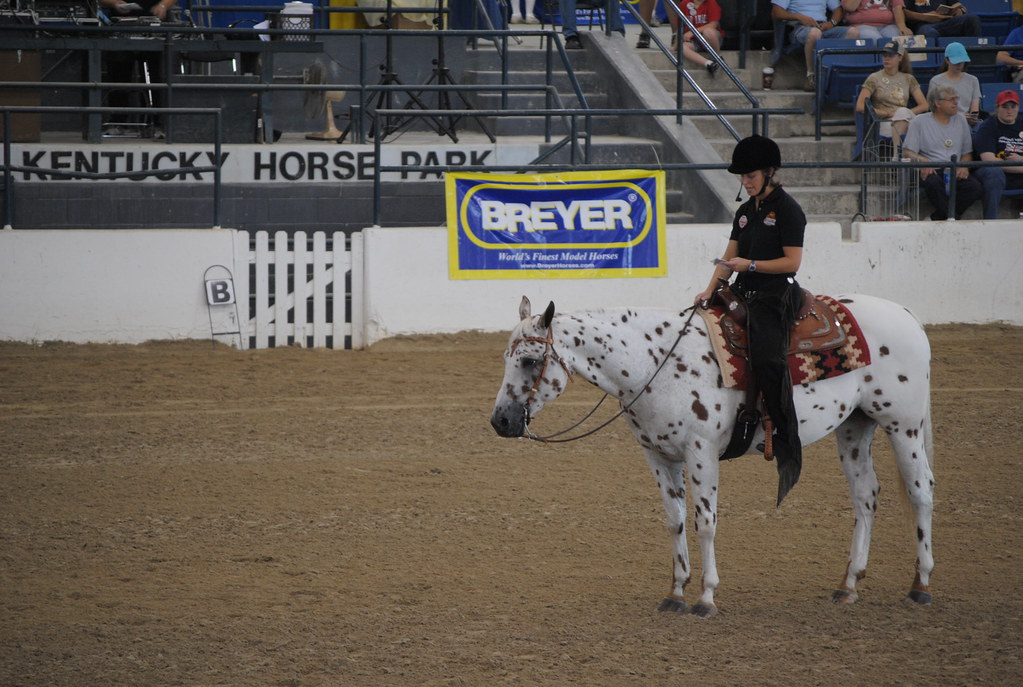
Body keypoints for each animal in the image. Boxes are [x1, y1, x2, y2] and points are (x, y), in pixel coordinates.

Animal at [490, 295, 934, 618]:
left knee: (921, 491)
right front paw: (675, 592)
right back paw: (849, 584)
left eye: (529, 360)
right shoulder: (658, 455)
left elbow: (705, 522)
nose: (500, 421)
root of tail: (908, 316)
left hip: (903, 425)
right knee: (865, 496)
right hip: (855, 427)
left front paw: (705, 598)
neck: (656, 363)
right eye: (507, 359)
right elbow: (674, 521)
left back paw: (921, 584)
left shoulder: (700, 451)